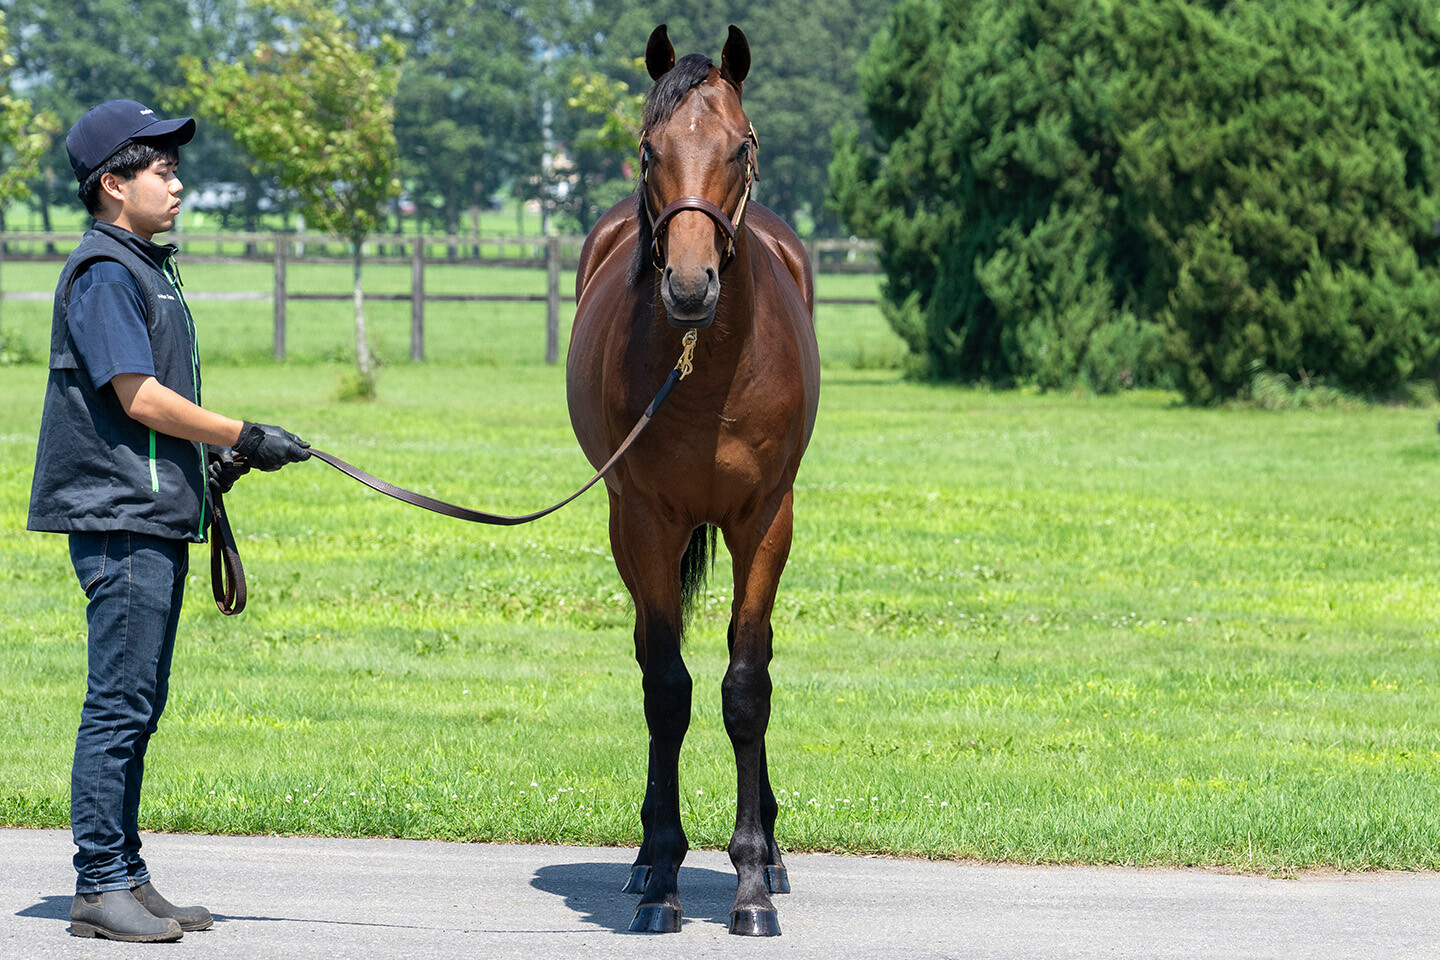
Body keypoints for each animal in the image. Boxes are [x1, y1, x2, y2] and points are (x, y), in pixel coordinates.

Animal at [566, 23, 820, 938]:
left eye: (741, 146)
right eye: (649, 149)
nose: (687, 284)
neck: (704, 371)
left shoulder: (766, 519)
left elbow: (747, 686)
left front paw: (750, 883)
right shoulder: (646, 520)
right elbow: (668, 691)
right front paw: (665, 878)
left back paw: (772, 855)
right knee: (652, 659)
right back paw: (646, 860)